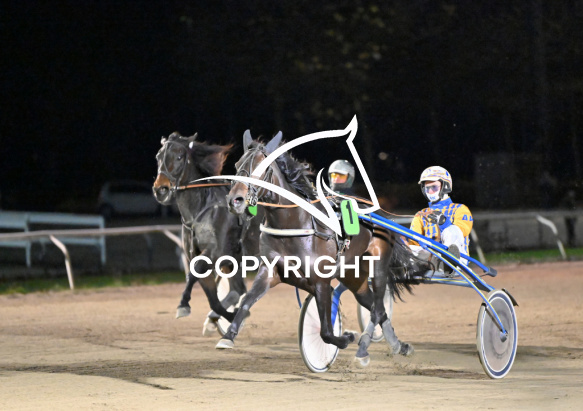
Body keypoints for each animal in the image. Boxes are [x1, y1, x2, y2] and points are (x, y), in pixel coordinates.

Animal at [152, 131, 261, 333]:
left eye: (179, 156)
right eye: (158, 157)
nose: (160, 189)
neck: (201, 210)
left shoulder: (213, 253)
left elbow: (193, 273)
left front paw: (183, 305)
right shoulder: (204, 257)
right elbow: (213, 299)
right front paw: (229, 317)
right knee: (237, 290)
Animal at [217, 130, 430, 364]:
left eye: (262, 167)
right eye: (237, 165)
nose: (235, 200)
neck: (293, 224)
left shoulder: (321, 280)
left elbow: (326, 330)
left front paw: (345, 338)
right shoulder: (270, 272)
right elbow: (246, 302)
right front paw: (228, 336)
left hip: (379, 266)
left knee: (377, 307)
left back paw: (367, 348)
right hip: (353, 275)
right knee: (376, 308)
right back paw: (398, 346)